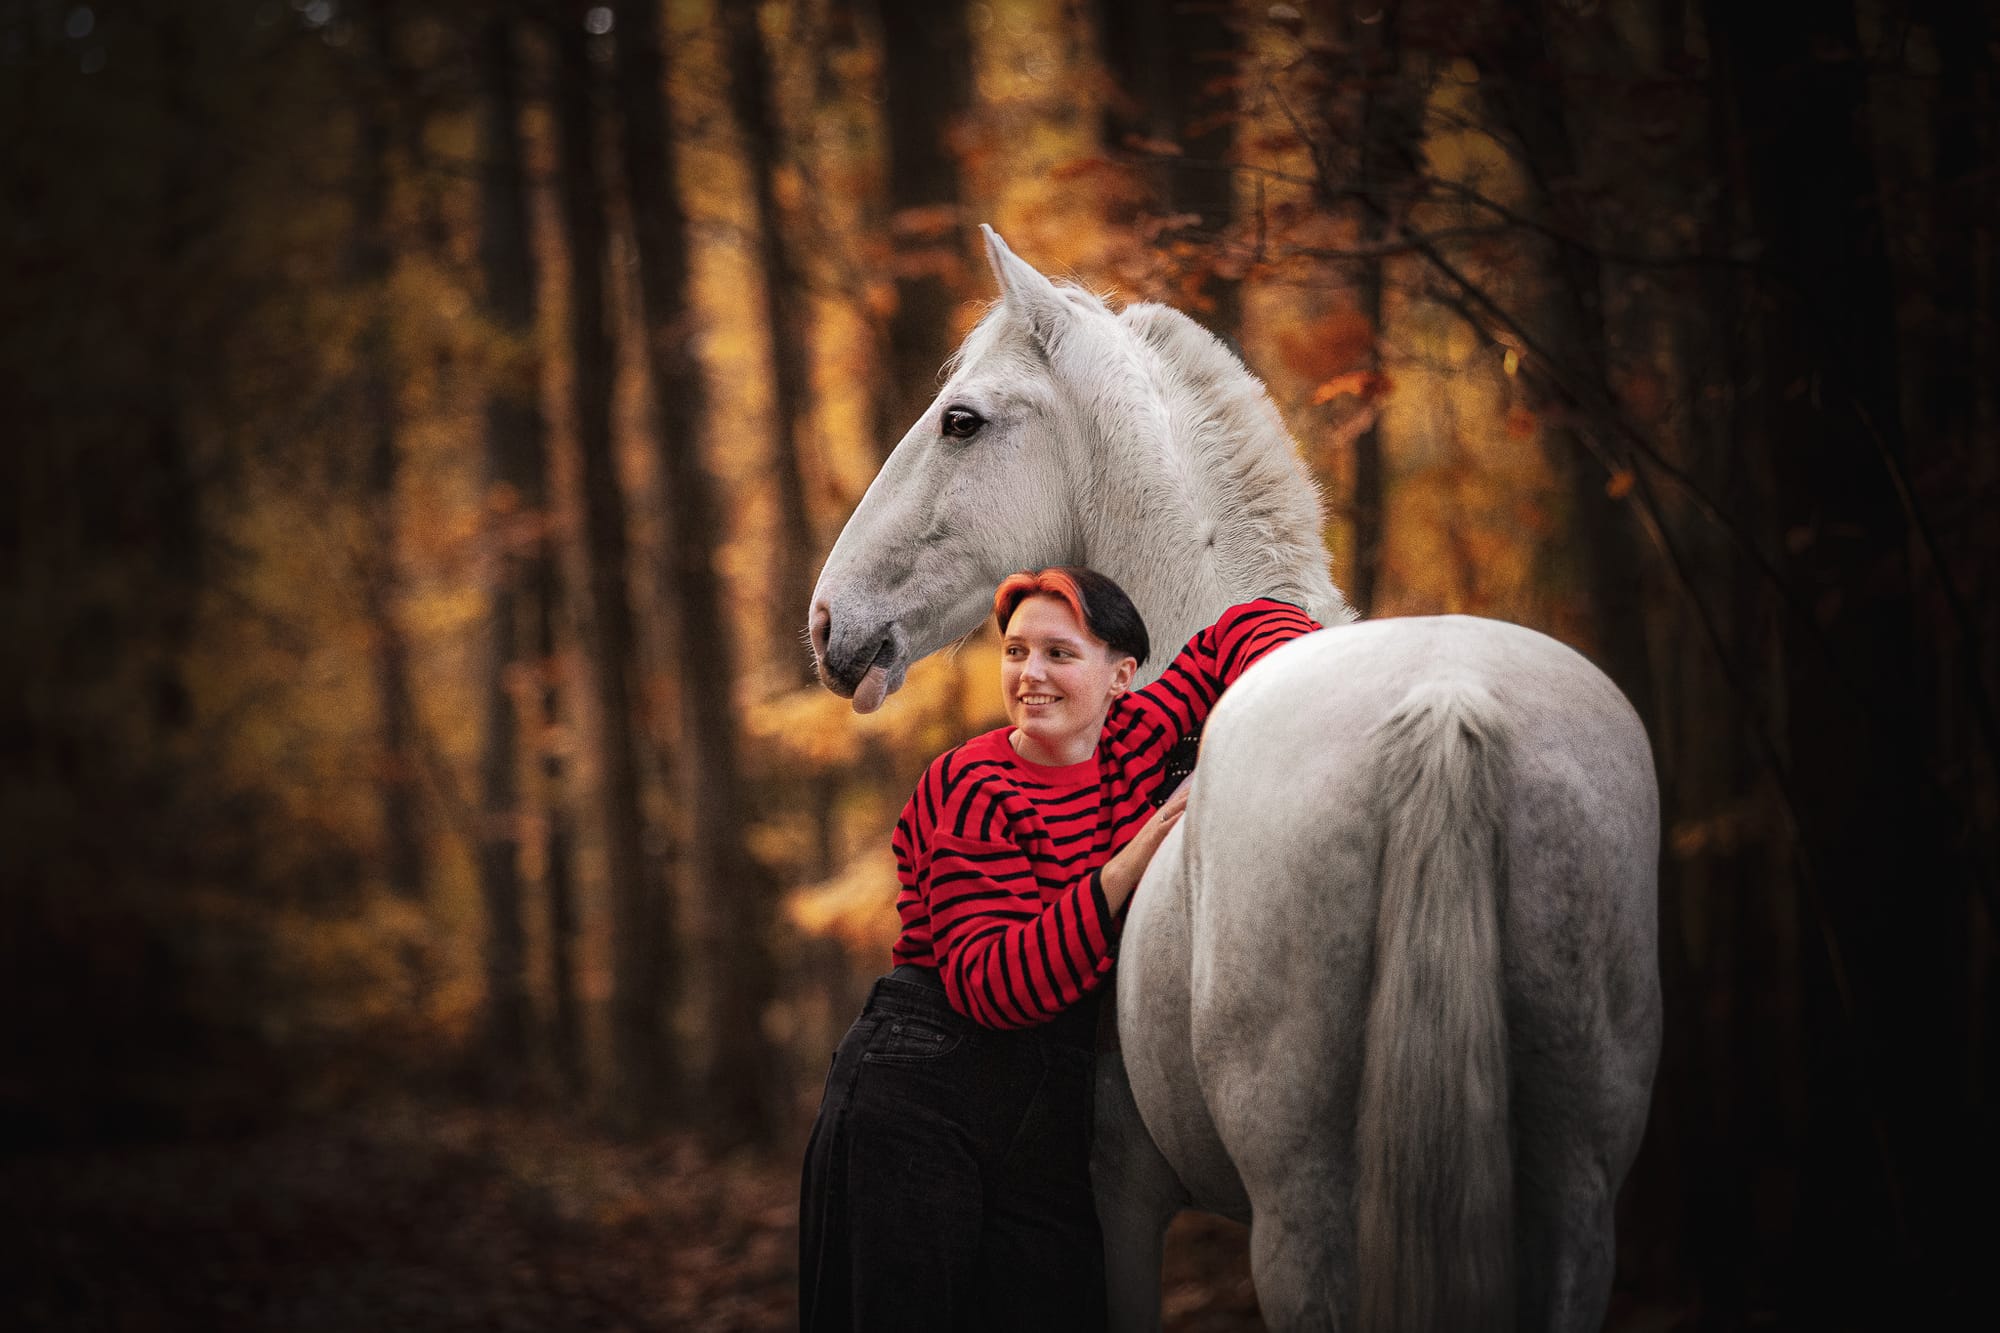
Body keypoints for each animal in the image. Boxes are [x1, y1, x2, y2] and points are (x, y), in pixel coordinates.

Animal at [807, 227, 1661, 1332]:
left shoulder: (1117, 1193)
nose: (828, 621)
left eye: (961, 420)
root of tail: (1447, 702)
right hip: (1571, 1203)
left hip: (1303, 1221)